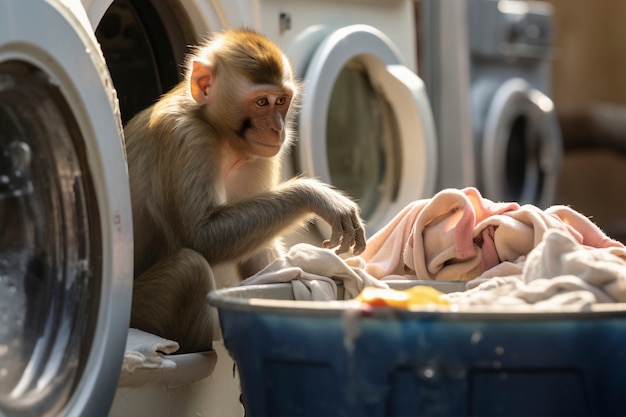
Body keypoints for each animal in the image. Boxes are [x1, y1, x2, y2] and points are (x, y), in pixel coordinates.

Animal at [123, 28, 366, 352]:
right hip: (141, 312)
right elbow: (200, 237)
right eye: (261, 102)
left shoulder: (260, 158)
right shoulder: (186, 137)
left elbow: (257, 254)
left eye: (281, 101)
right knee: (190, 266)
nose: (278, 129)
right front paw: (316, 195)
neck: (218, 132)